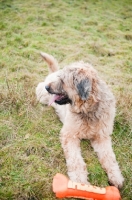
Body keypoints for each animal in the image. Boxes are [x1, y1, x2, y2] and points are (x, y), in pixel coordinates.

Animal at [35, 52, 124, 188]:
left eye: (63, 80)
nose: (47, 87)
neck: (88, 110)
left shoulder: (102, 137)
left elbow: (109, 157)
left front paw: (115, 176)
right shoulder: (69, 135)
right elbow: (76, 160)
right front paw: (79, 180)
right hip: (42, 96)